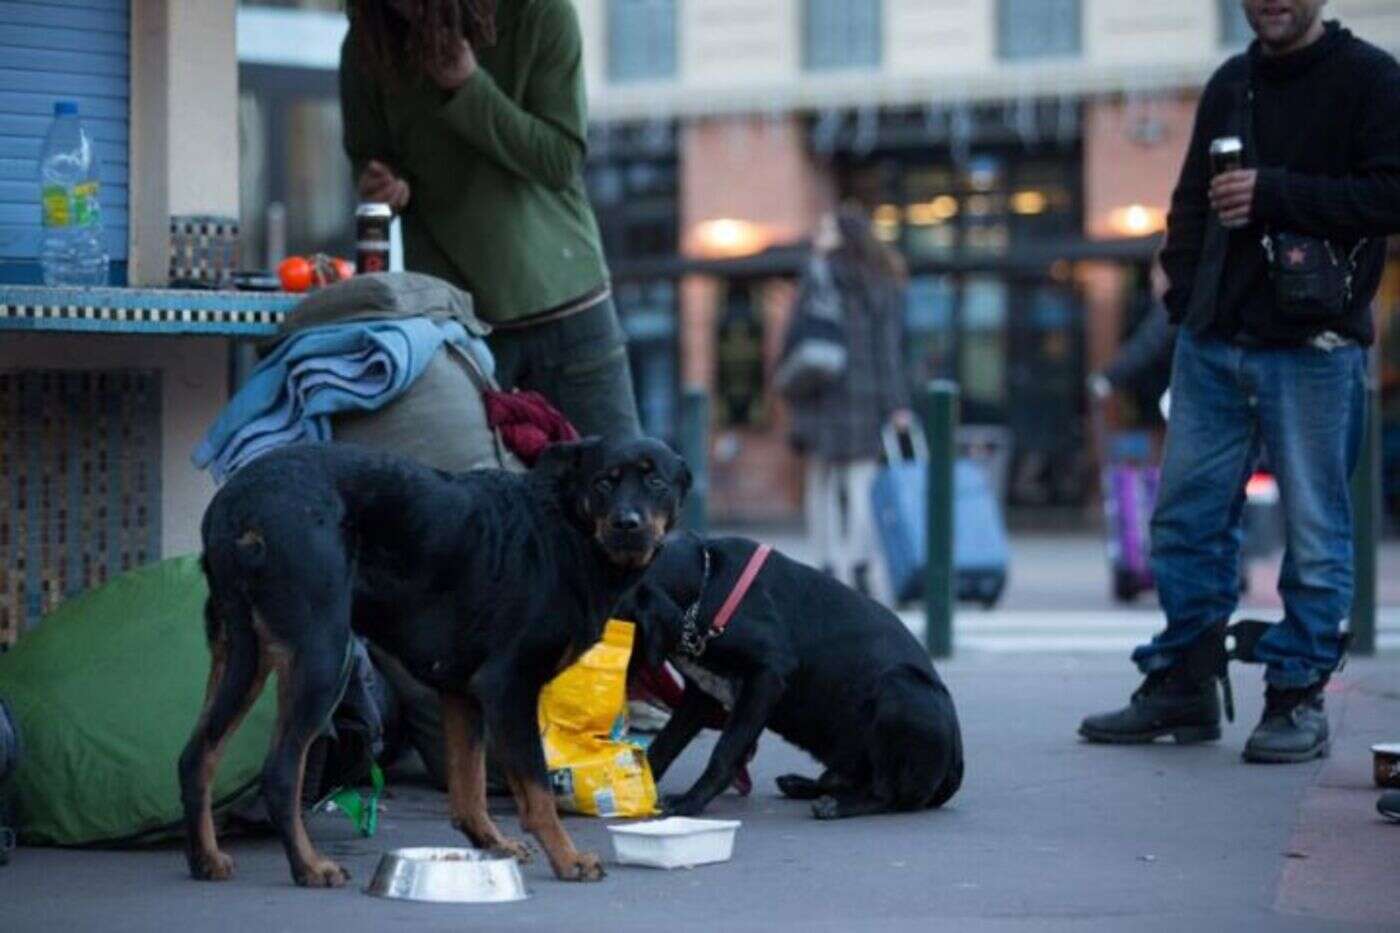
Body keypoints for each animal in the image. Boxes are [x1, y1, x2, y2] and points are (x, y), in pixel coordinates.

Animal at [177, 431, 691, 885]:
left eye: (656, 482)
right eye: (604, 482)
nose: (627, 523)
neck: (568, 529)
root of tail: (234, 505)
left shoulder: (463, 692)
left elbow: (468, 788)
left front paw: (492, 844)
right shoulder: (508, 687)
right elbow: (537, 791)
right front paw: (568, 859)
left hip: (242, 654)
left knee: (197, 755)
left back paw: (206, 859)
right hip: (323, 654)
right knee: (281, 771)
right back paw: (309, 867)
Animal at [624, 535, 963, 818]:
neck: (705, 587)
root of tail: (956, 764)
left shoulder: (767, 676)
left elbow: (725, 751)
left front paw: (690, 801)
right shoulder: (702, 695)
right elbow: (664, 745)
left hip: (901, 689)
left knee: (887, 793)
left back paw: (839, 806)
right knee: (847, 780)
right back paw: (805, 784)